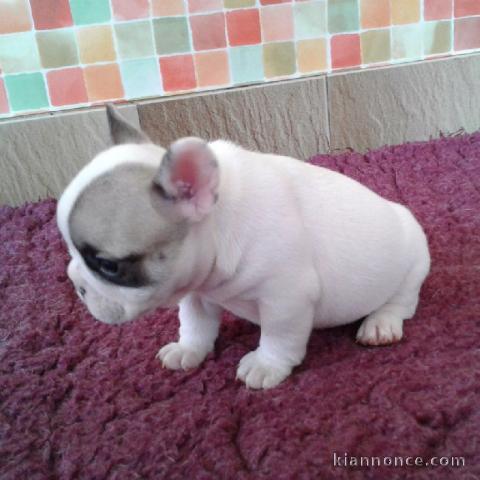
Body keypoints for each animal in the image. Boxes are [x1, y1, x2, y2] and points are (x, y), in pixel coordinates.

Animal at [57, 105, 432, 390]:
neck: (220, 222)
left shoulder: (286, 299)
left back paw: (381, 324)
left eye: (108, 265)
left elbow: (279, 336)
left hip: (413, 262)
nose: (75, 283)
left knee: (403, 301)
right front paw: (188, 349)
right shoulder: (196, 291)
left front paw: (266, 365)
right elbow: (195, 323)